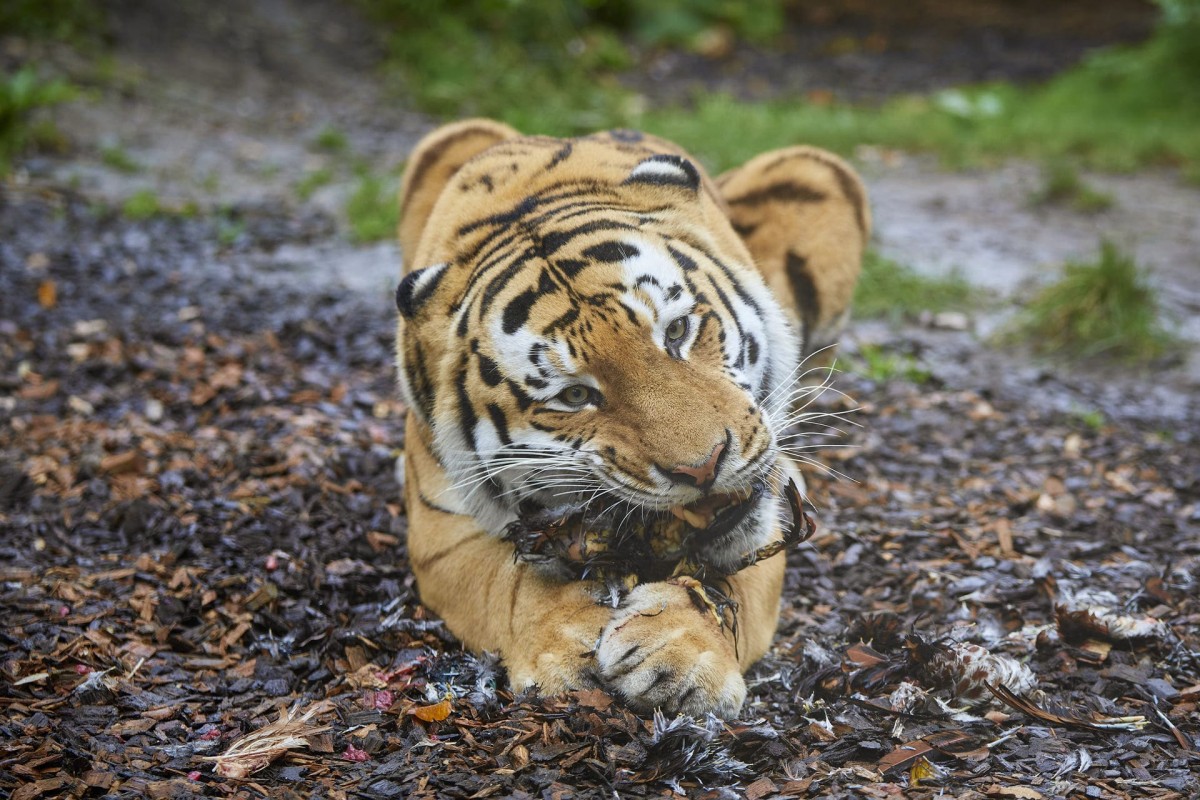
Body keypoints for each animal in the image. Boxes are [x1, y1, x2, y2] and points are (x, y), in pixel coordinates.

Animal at [394, 119, 868, 719]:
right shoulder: (442, 537)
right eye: (575, 395)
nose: (704, 467)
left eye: (677, 332)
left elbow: (729, 582)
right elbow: (512, 583)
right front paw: (564, 638)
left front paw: (679, 651)